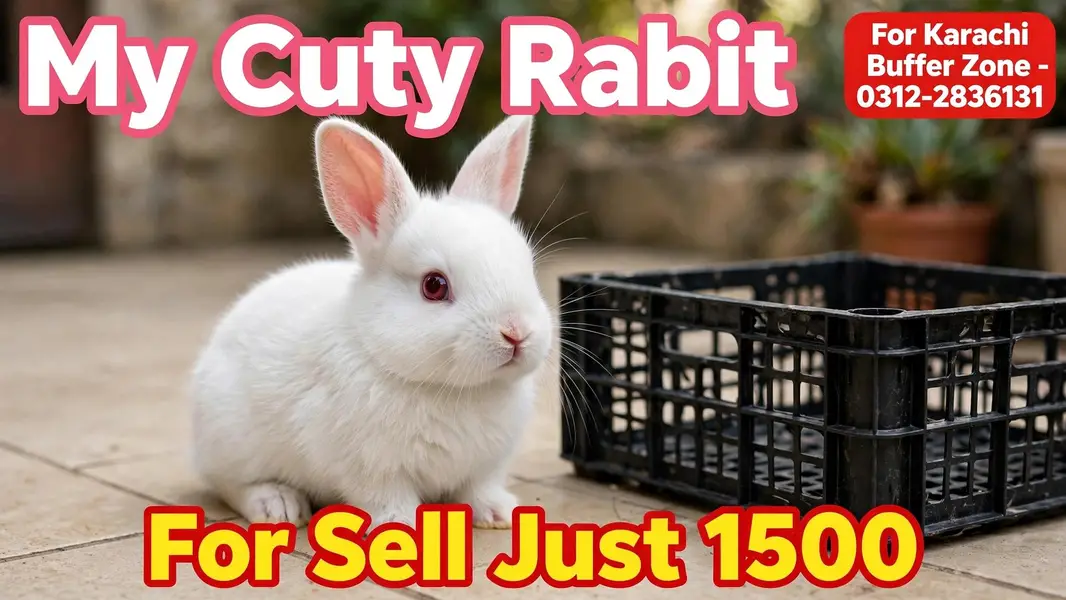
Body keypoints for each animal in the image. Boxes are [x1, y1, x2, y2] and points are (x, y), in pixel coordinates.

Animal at [189, 114, 554, 530]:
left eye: (526, 266)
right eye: (434, 285)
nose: (516, 333)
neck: (453, 389)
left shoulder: (485, 466)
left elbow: (478, 489)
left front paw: (499, 514)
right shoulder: (372, 470)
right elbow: (387, 498)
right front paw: (401, 527)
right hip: (230, 440)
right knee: (230, 485)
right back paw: (279, 506)